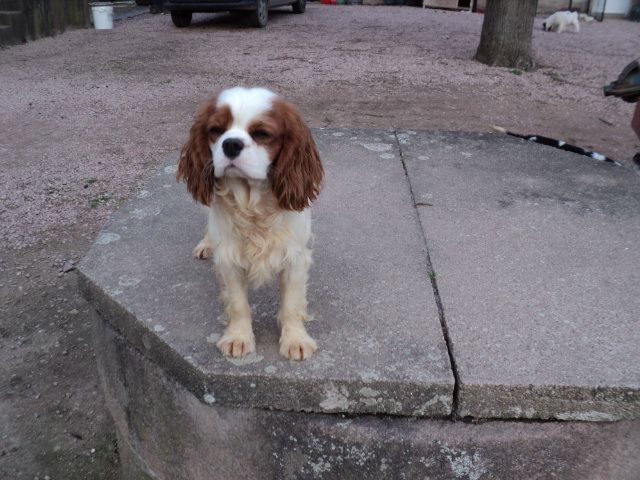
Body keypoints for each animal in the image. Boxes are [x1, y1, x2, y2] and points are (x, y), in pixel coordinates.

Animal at [176, 88, 322, 360]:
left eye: (262, 133)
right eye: (216, 130)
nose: (231, 144)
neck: (253, 203)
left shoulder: (294, 257)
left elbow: (291, 305)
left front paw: (295, 339)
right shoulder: (229, 259)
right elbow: (238, 304)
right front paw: (238, 337)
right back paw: (206, 244)